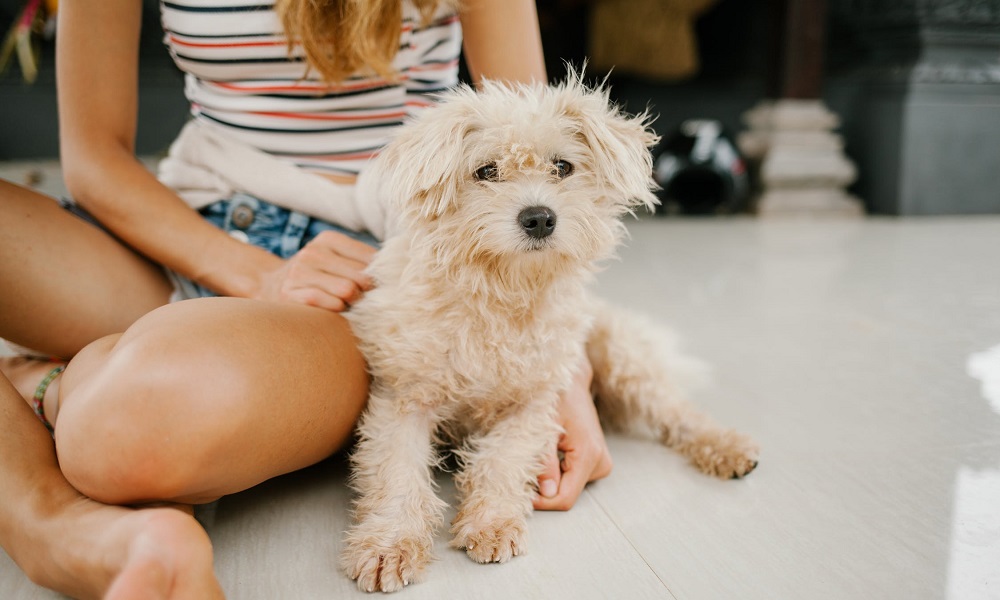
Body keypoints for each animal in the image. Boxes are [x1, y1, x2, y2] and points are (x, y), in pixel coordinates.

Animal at [338, 74, 756, 592]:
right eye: (486, 171)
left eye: (562, 166)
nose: (539, 217)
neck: (501, 294)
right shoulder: (404, 399)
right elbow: (398, 475)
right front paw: (390, 545)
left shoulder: (535, 402)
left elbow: (501, 460)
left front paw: (492, 524)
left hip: (621, 358)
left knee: (679, 413)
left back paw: (728, 448)